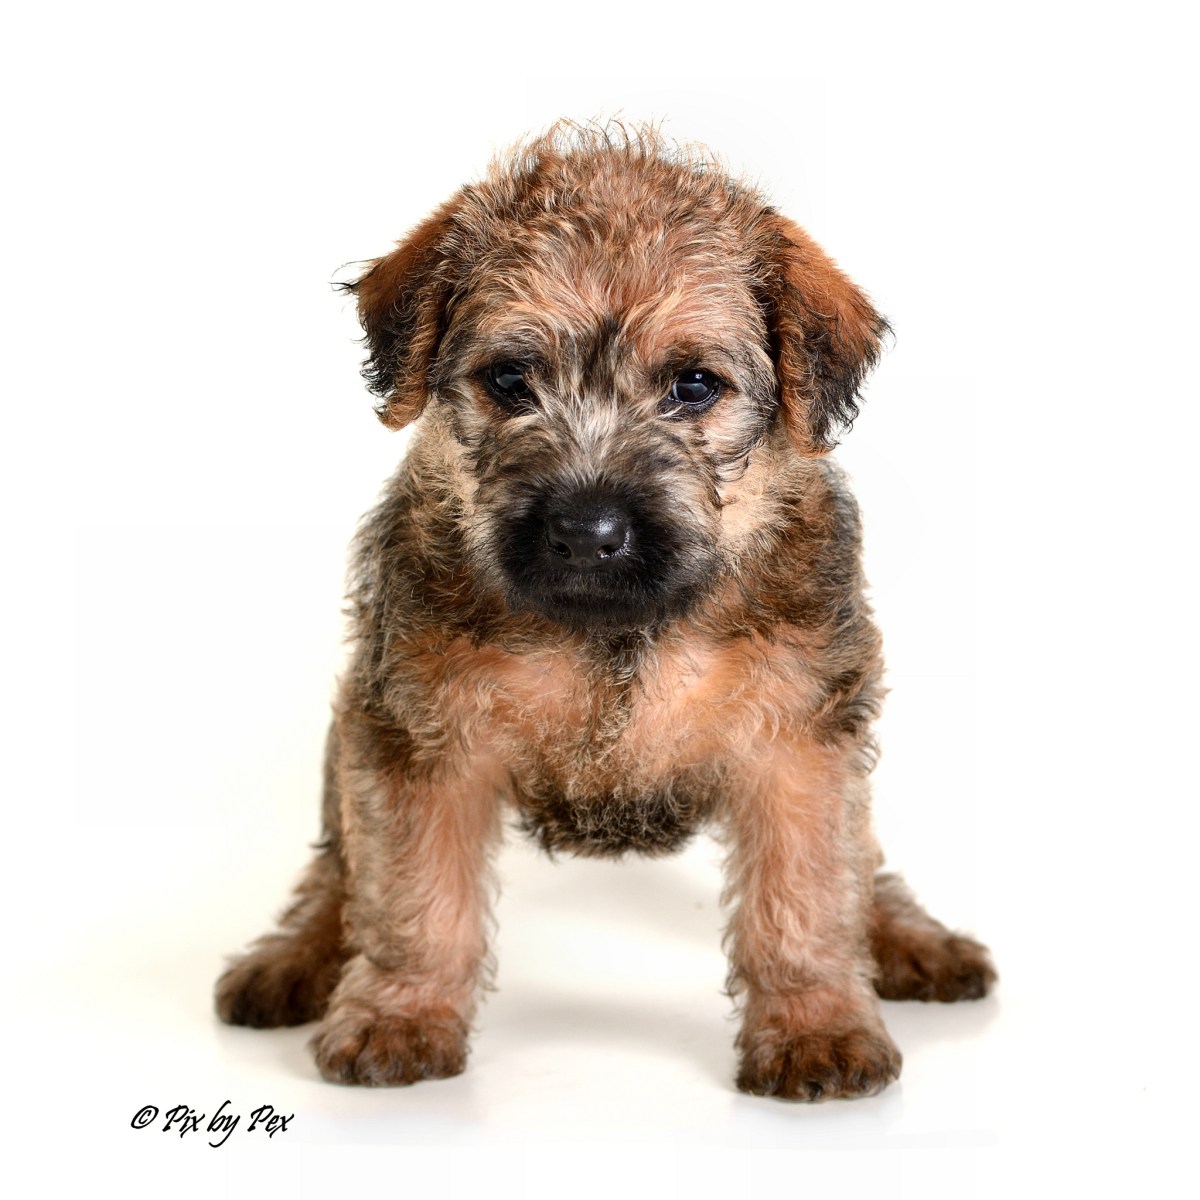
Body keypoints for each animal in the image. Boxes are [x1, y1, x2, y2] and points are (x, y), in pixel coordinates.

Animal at [215, 124, 994, 1100]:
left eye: (693, 386)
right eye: (511, 379)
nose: (587, 532)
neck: (614, 632)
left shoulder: (800, 740)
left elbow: (807, 894)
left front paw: (817, 1028)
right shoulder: (419, 739)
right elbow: (414, 896)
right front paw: (399, 1014)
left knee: (865, 861)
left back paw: (909, 939)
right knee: (337, 867)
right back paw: (296, 956)